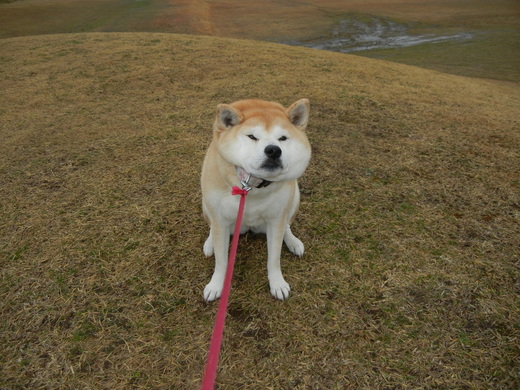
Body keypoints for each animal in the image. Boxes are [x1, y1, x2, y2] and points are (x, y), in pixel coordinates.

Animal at [201, 99, 310, 300]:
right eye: (252, 136)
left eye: (283, 138)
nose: (273, 150)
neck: (252, 186)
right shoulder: (220, 219)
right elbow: (221, 261)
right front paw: (216, 285)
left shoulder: (276, 220)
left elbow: (274, 258)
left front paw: (277, 283)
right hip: (206, 205)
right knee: (211, 227)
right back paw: (210, 242)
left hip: (294, 198)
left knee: (287, 225)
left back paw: (292, 241)